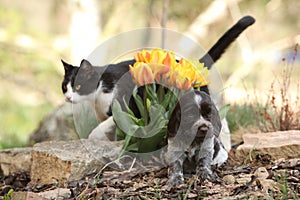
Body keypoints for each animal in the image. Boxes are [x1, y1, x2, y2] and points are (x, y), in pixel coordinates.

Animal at [62, 16, 254, 142]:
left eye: (78, 86)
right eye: (65, 87)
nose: (68, 97)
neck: (100, 91)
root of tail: (192, 67)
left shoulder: (123, 107)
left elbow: (103, 126)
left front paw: (92, 137)